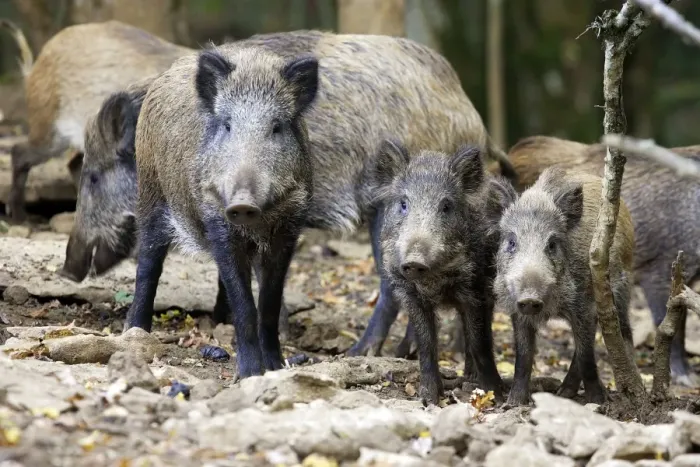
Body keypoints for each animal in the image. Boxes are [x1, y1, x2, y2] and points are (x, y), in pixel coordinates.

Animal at [61, 29, 517, 357]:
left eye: (93, 178)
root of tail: (474, 121)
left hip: (387, 209)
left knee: (392, 286)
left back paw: (362, 353)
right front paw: (223, 322)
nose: (68, 266)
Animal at [369, 139, 510, 404]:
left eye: (445, 206)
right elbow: (426, 343)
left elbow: (480, 342)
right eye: (403, 204)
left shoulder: (474, 290)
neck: (434, 281)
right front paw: (428, 399)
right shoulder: (412, 295)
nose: (414, 260)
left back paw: (471, 379)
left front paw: (496, 394)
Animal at [494, 167, 635, 406]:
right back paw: (563, 393)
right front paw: (513, 403)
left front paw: (599, 402)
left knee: (622, 333)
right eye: (511, 242)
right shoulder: (517, 310)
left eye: (552, 244)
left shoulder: (583, 305)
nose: (530, 298)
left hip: (622, 288)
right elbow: (523, 355)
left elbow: (586, 355)